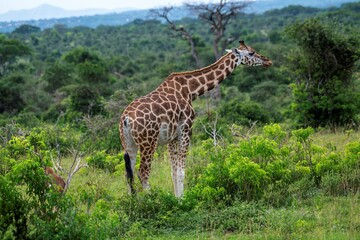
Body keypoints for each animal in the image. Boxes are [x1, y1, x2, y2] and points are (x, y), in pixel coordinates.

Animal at [119, 39, 272, 197]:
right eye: (251, 53)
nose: (268, 61)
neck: (190, 91)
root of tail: (126, 119)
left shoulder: (172, 137)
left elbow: (173, 172)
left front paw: (176, 198)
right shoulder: (186, 129)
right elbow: (181, 172)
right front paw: (182, 199)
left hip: (128, 143)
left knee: (128, 174)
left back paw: (134, 201)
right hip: (148, 142)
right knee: (143, 172)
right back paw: (151, 200)